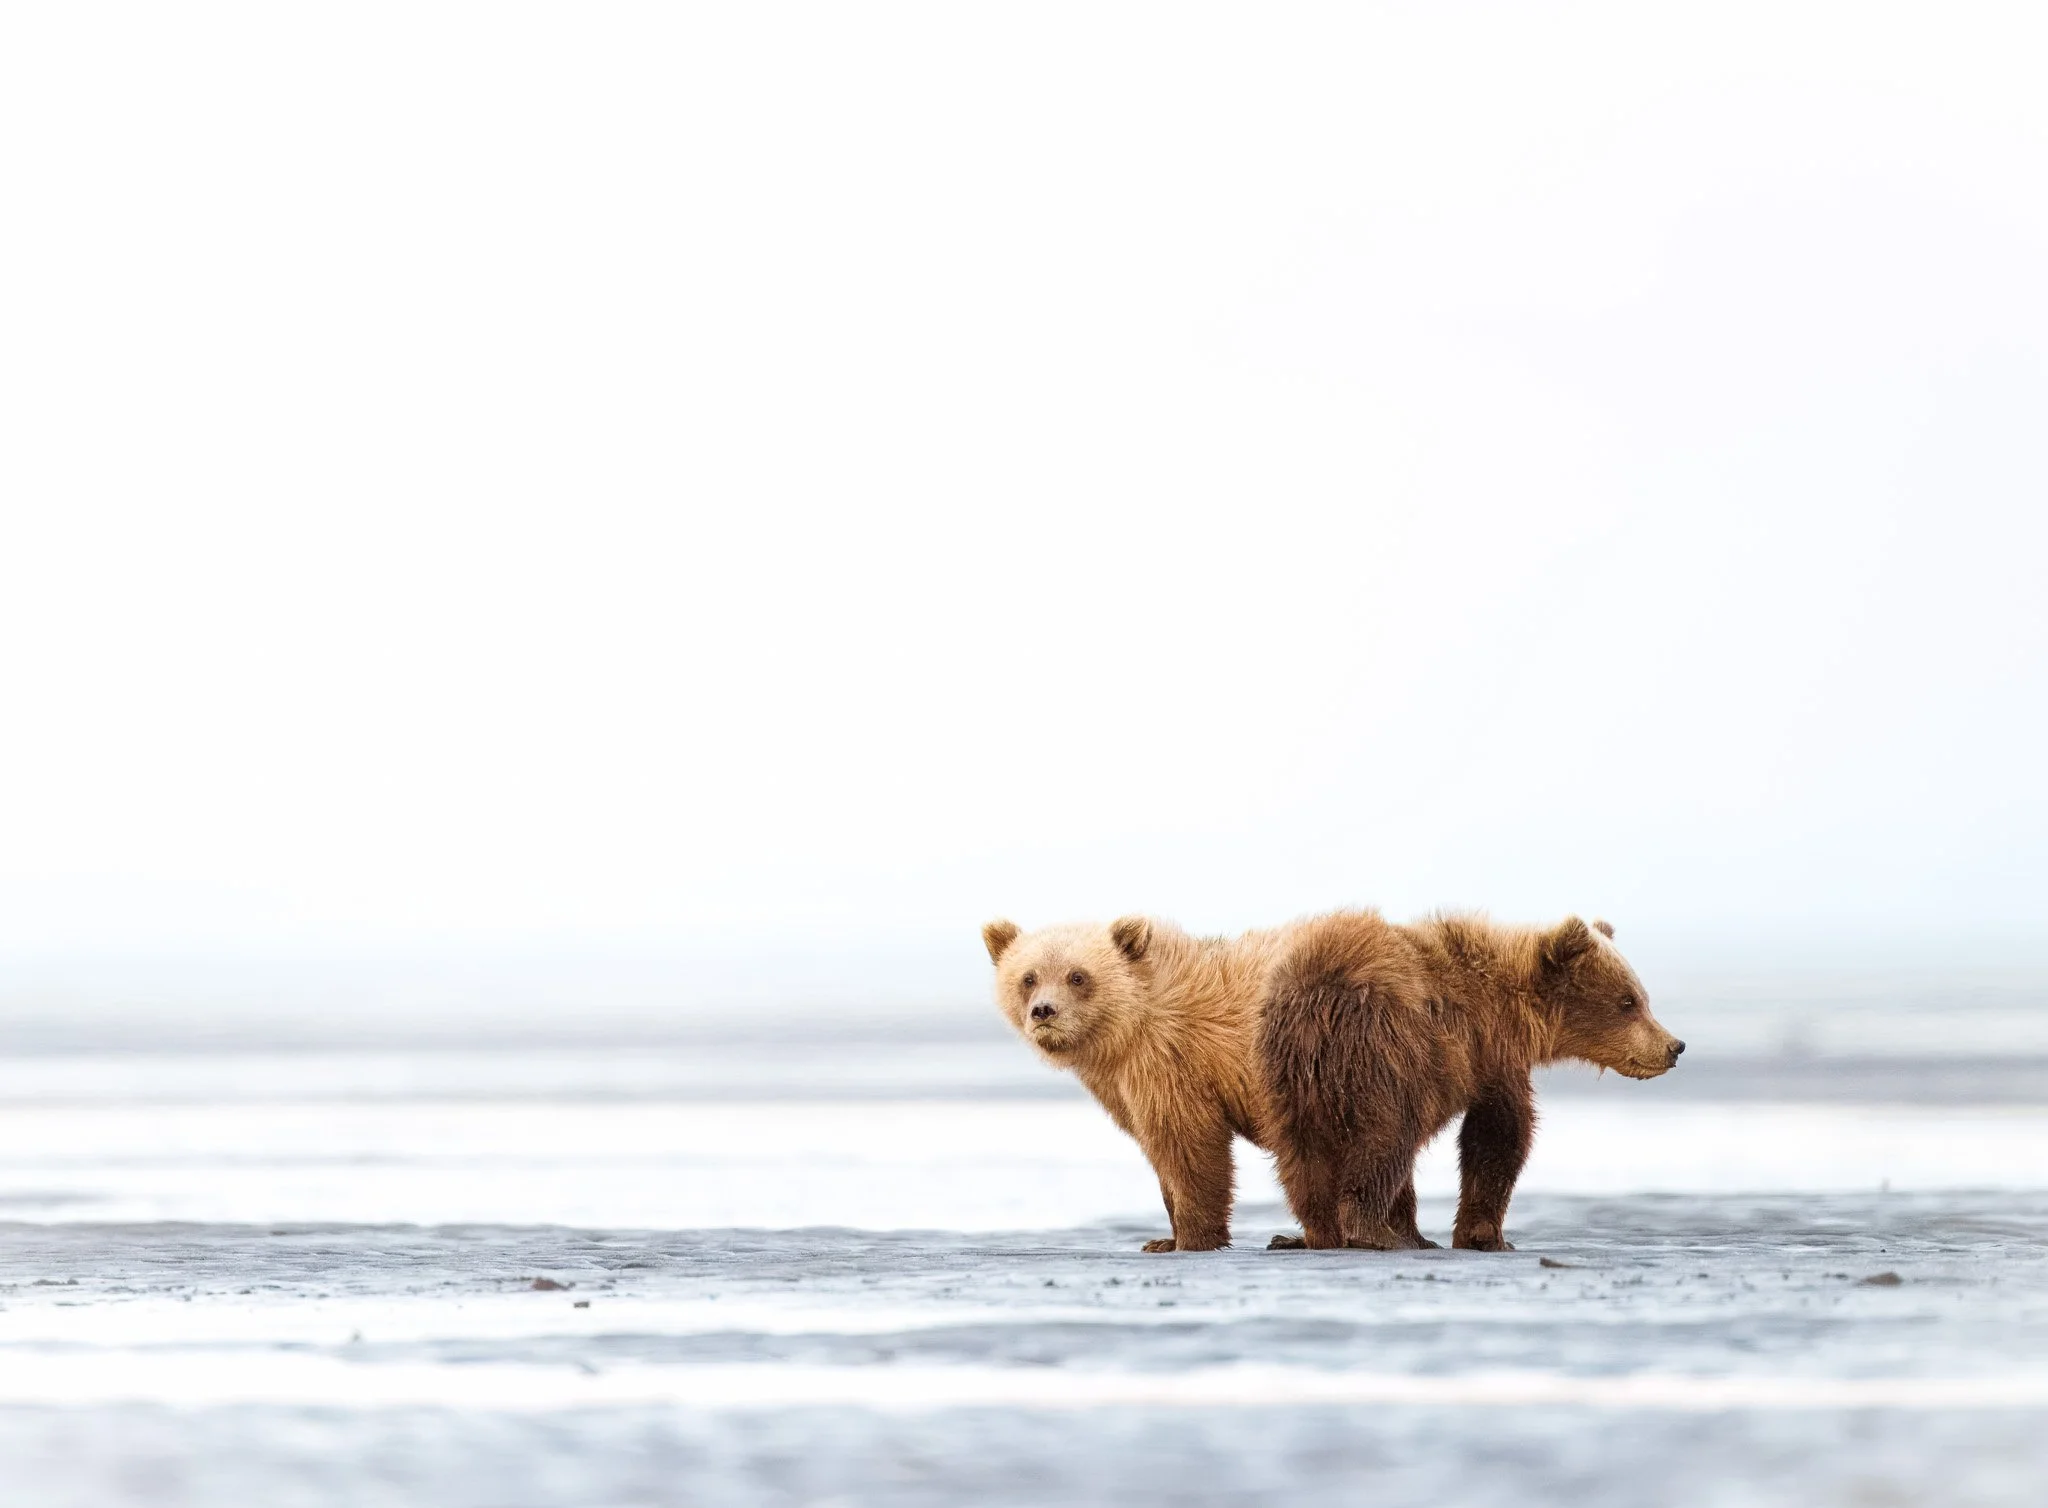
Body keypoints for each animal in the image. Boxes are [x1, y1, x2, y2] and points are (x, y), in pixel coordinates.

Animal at [981, 914, 1433, 1253]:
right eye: (1028, 977)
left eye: (1077, 976)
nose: (1044, 1011)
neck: (1128, 1030)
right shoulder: (1126, 1084)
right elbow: (1159, 1153)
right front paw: (1163, 1239)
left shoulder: (1174, 1062)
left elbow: (1189, 1146)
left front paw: (1193, 1236)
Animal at [1258, 911, 1684, 1253]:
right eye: (1627, 1001)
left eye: (1643, 998)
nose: (1674, 1046)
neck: (1506, 1004)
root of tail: (1319, 1005)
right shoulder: (1488, 1055)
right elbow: (1499, 1136)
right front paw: (1488, 1237)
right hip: (1381, 1057)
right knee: (1385, 1143)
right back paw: (1377, 1234)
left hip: (1292, 1083)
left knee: (1303, 1160)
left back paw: (1313, 1234)